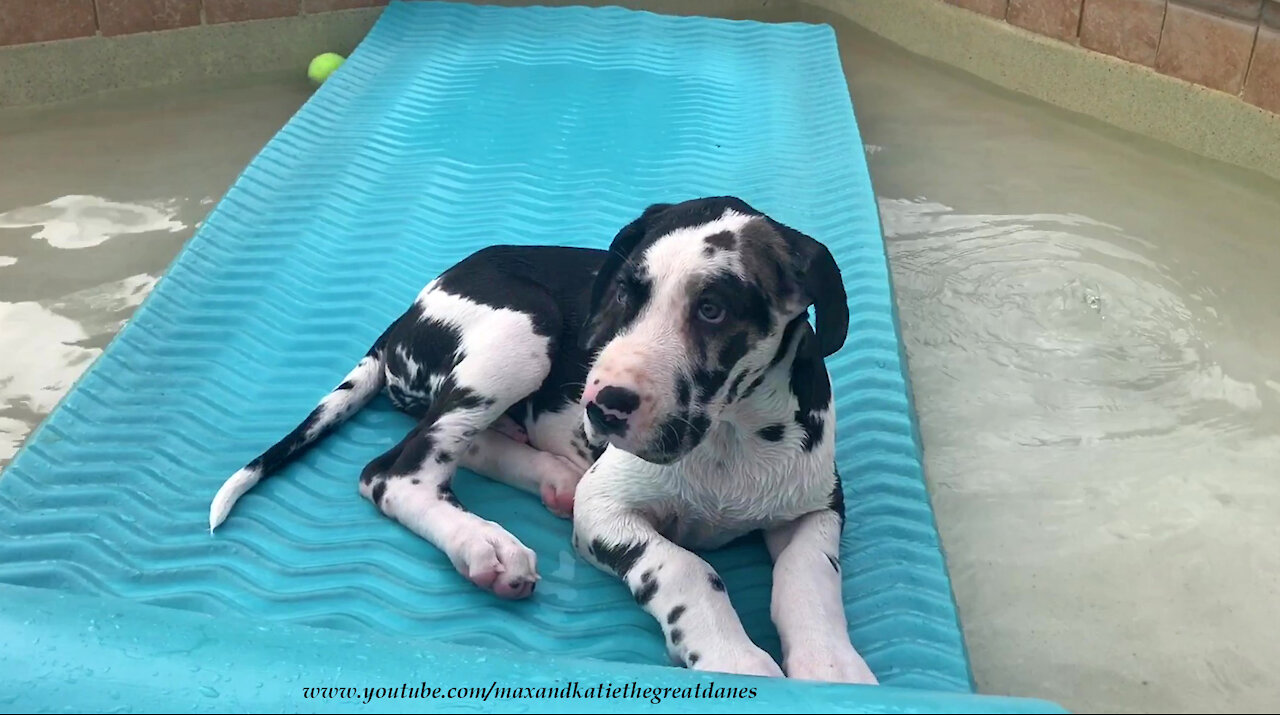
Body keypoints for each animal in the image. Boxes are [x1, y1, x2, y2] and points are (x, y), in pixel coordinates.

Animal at [207, 196, 880, 690]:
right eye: (621, 295)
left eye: (712, 310)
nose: (603, 406)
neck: (729, 437)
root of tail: (405, 316)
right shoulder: (607, 510)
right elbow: (688, 568)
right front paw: (734, 659)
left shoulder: (818, 506)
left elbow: (810, 581)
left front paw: (832, 667)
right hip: (522, 332)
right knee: (396, 469)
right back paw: (485, 544)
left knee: (472, 444)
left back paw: (552, 479)